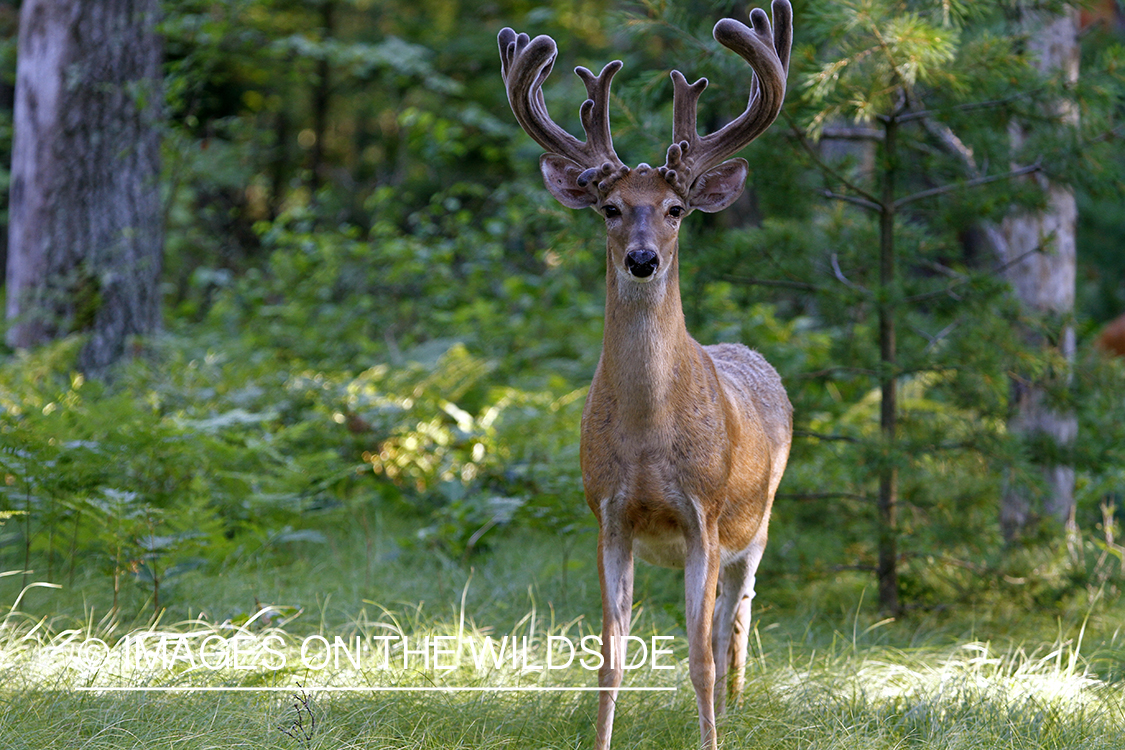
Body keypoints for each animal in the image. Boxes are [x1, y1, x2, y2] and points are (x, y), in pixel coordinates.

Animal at [497, 2, 796, 746]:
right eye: (609, 207)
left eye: (675, 209)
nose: (641, 259)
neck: (648, 438)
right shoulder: (607, 513)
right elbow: (608, 657)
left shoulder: (704, 515)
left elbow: (699, 659)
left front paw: (712, 736)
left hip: (756, 523)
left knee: (734, 621)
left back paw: (740, 705)